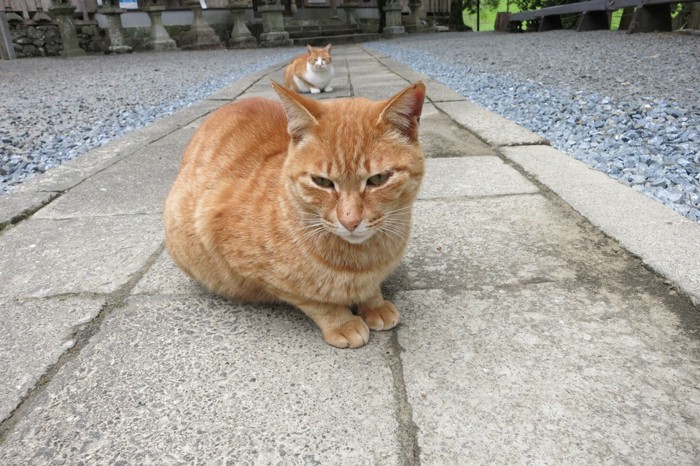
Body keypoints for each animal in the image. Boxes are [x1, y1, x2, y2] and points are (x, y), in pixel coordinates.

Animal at [164, 80, 426, 348]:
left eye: (378, 179)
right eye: (322, 181)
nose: (350, 221)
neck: (363, 260)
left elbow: (369, 290)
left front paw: (374, 304)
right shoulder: (249, 262)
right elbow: (315, 301)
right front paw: (342, 322)